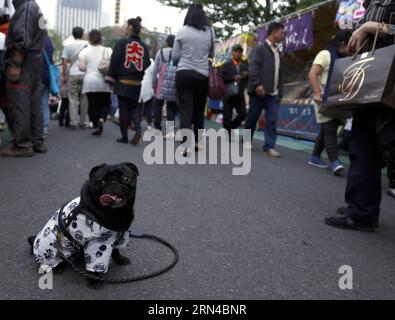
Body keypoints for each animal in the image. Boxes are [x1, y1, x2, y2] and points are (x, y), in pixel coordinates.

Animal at [28, 162, 139, 290]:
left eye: (126, 178)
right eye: (102, 182)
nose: (114, 183)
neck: (118, 213)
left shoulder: (120, 236)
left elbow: (116, 250)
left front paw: (120, 259)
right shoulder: (97, 244)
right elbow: (93, 266)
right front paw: (94, 280)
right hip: (50, 248)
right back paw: (57, 268)